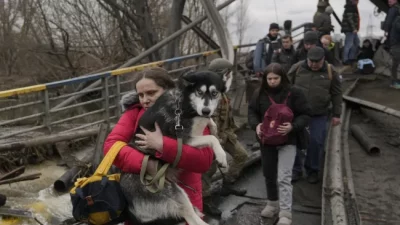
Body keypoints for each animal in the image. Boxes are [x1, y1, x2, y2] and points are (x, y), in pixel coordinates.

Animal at [119, 70, 231, 225]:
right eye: (199, 92)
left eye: (214, 93)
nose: (206, 110)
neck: (184, 103)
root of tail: (130, 208)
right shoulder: (182, 139)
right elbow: (211, 138)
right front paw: (221, 156)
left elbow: (210, 130)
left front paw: (213, 126)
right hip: (175, 194)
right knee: (191, 217)